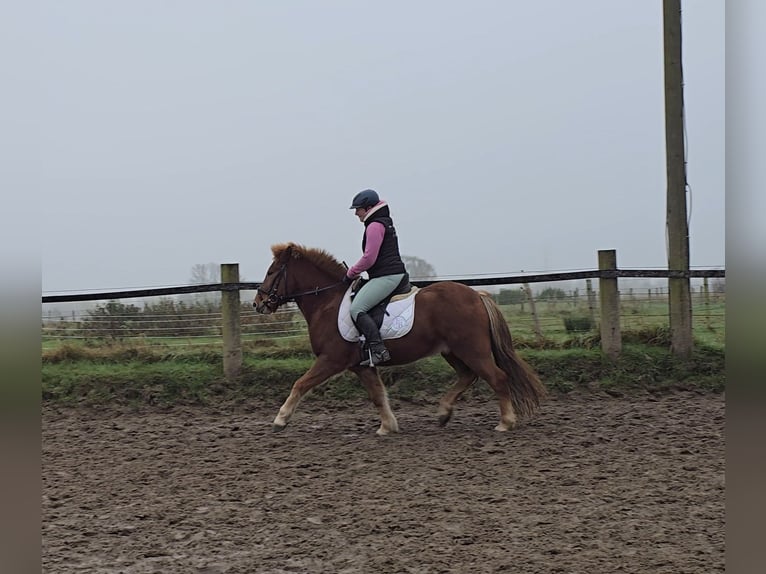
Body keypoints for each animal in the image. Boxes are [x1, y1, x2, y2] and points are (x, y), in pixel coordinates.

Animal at [254, 243, 544, 436]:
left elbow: (300, 384)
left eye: (271, 272)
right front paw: (387, 426)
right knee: (468, 376)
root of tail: (477, 295)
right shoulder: (361, 365)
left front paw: (280, 419)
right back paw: (443, 413)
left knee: (497, 378)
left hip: (472, 350)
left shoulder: (331, 360)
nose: (258, 303)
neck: (327, 302)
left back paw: (505, 422)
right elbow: (378, 395)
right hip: (452, 351)